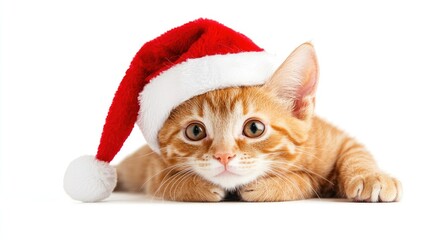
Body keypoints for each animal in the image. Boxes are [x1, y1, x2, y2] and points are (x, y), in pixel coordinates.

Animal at [113, 42, 402, 202]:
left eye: (254, 128)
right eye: (195, 131)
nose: (224, 156)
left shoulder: (332, 139)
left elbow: (354, 153)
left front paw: (371, 176)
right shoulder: (155, 165)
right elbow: (165, 181)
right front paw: (197, 187)